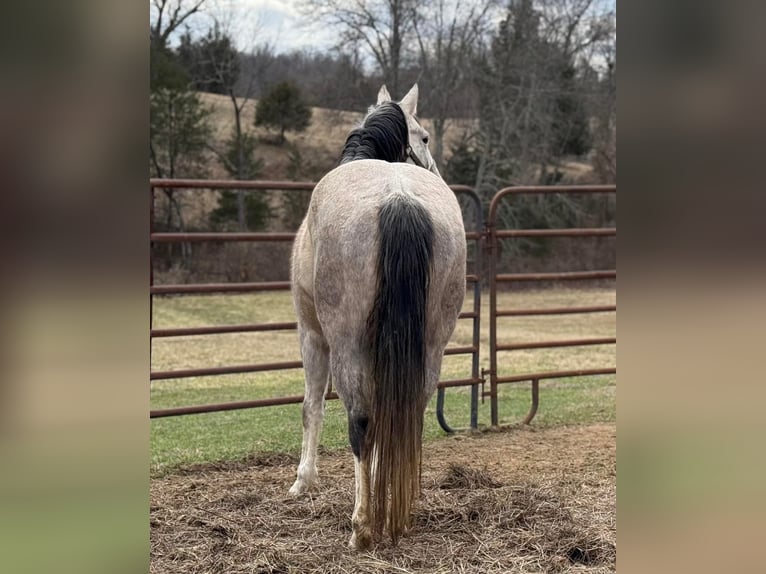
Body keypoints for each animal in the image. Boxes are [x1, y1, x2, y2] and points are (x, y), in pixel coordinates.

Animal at [288, 83, 468, 552]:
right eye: (425, 137)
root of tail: (398, 198)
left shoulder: (311, 335)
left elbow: (311, 407)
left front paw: (303, 481)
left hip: (345, 344)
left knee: (361, 421)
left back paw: (362, 526)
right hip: (431, 344)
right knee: (408, 412)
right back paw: (398, 514)